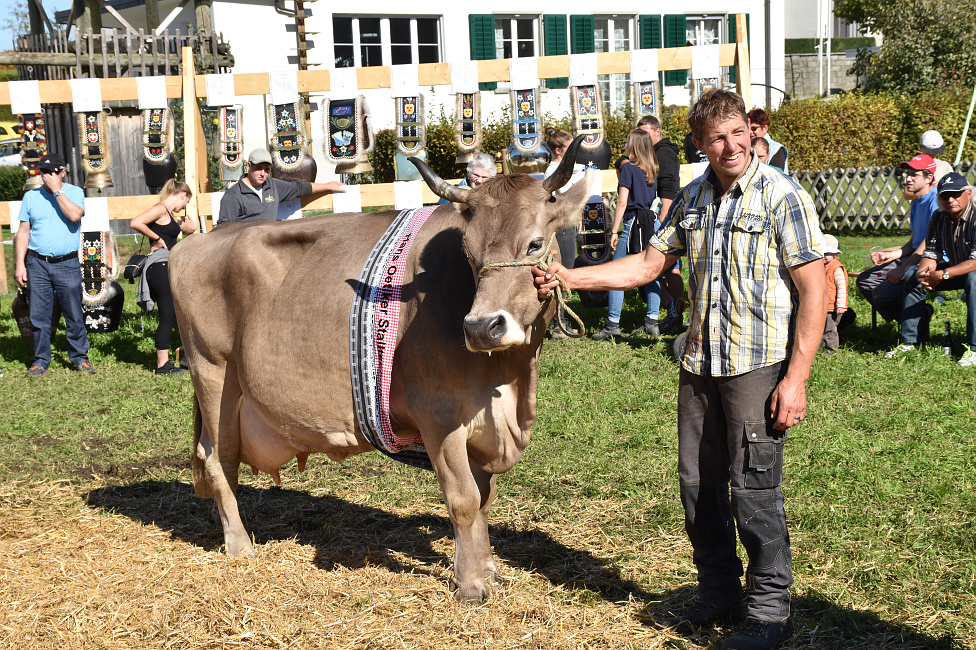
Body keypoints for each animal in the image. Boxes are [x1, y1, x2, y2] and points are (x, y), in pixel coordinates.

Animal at [170, 134, 588, 600]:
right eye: (469, 253)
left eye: (535, 243)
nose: (481, 327)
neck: (511, 379)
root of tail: (198, 239)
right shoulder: (438, 415)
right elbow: (462, 498)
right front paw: (470, 583)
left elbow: (483, 498)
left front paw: (487, 568)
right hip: (212, 370)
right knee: (217, 457)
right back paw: (240, 544)